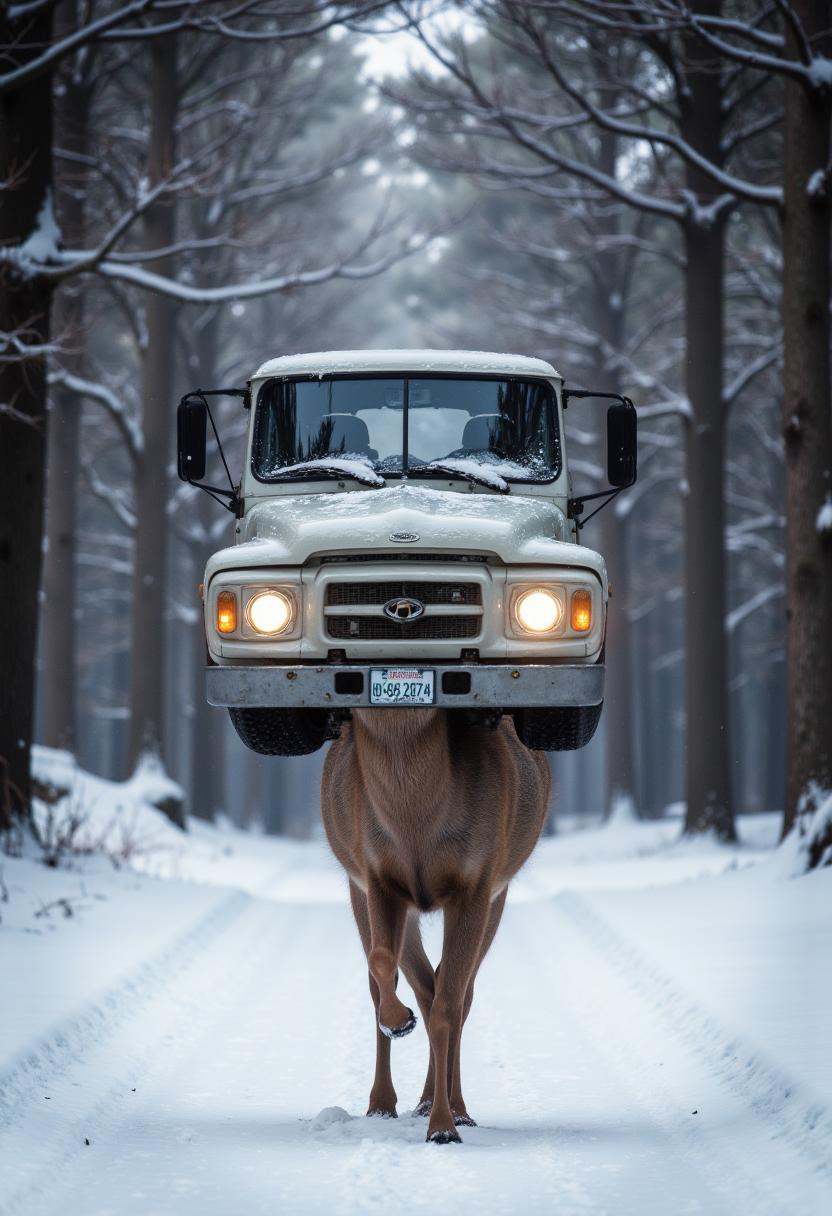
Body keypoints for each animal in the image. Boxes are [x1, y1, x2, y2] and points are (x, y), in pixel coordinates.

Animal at [320, 708, 551, 1144]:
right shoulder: (376, 876)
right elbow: (383, 964)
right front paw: (399, 1021)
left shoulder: (477, 884)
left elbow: (449, 1005)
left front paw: (444, 1127)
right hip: (360, 887)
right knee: (413, 986)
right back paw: (385, 1102)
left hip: (496, 897)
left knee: (455, 995)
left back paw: (451, 1107)